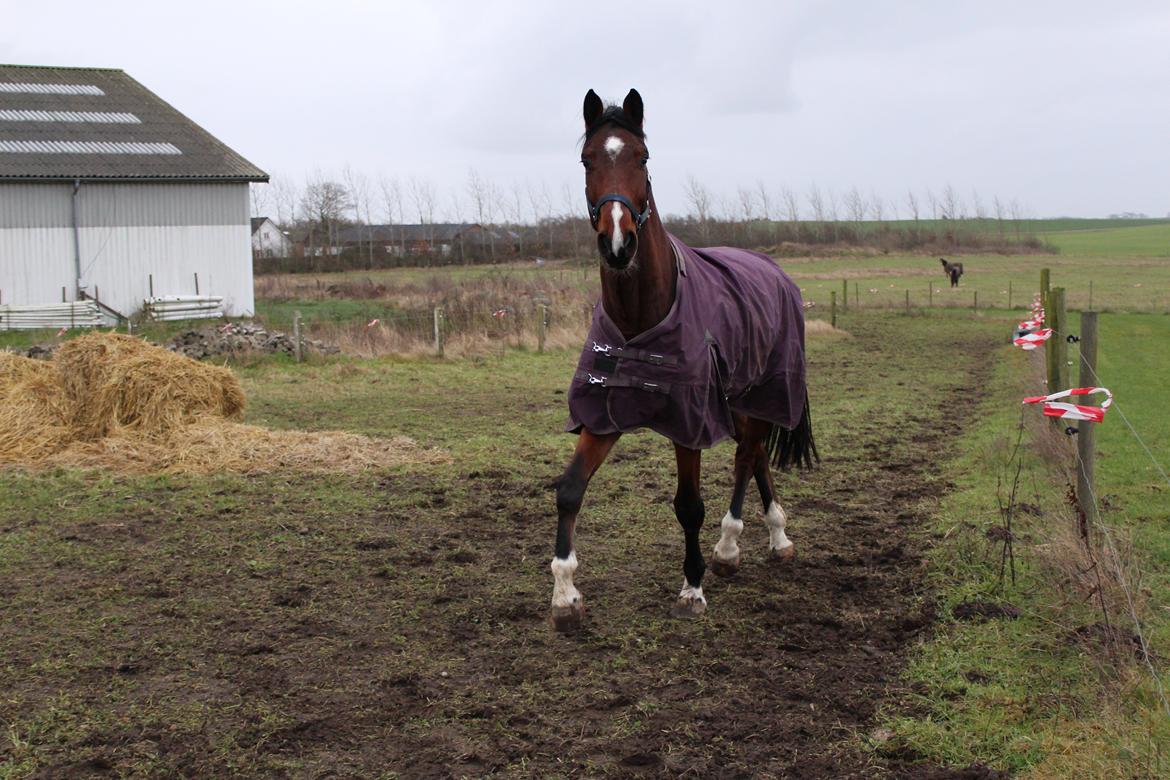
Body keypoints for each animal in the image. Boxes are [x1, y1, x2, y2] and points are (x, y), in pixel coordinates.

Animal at [549, 88, 819, 631]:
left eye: (642, 157)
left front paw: (692, 587)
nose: (617, 243)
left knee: (745, 457)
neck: (640, 318)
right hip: (739, 399)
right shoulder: (603, 416)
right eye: (587, 159)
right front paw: (565, 595)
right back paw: (775, 539)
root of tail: (774, 270)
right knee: (757, 456)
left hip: (763, 393)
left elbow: (689, 505)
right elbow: (569, 489)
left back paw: (732, 547)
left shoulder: (688, 422)